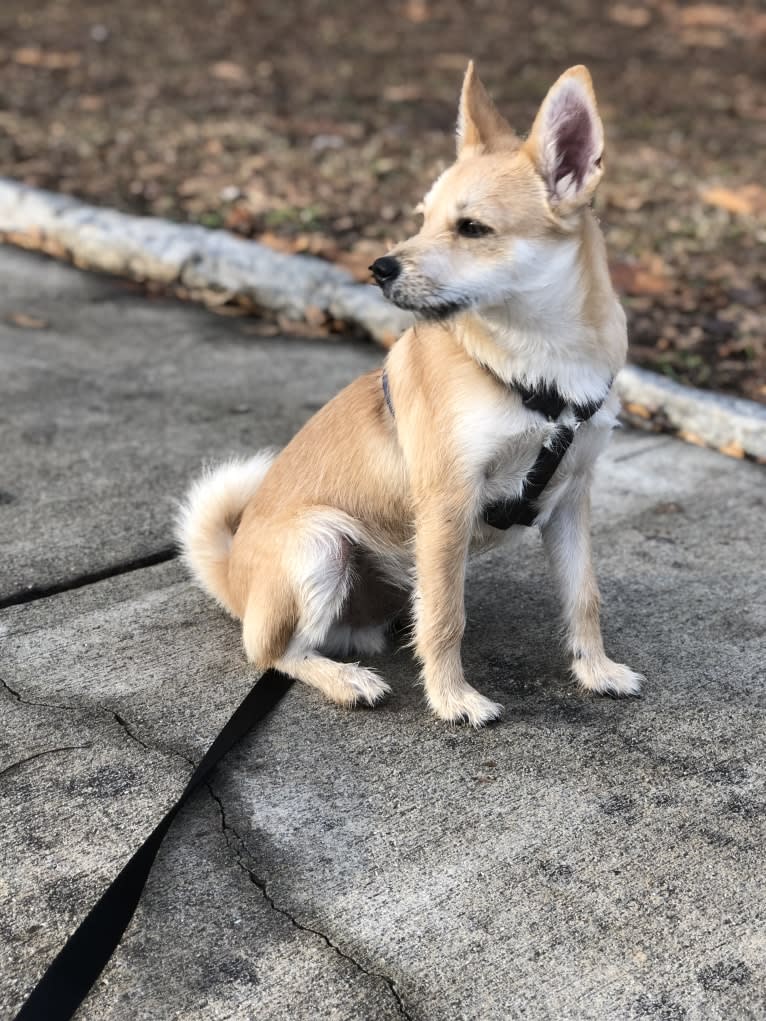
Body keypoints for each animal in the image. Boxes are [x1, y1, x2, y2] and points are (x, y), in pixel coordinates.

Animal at [179, 61, 649, 726]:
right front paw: (453, 699)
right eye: (423, 218)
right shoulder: (449, 503)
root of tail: (237, 580)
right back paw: (345, 679)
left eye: (472, 228)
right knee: (274, 651)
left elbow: (584, 596)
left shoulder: (570, 499)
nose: (379, 268)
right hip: (322, 544)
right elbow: (448, 617)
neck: (541, 365)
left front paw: (596, 671)